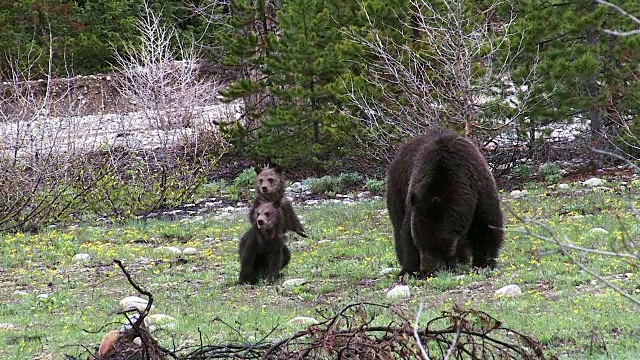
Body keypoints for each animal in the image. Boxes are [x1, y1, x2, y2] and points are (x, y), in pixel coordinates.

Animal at [388, 129, 502, 278]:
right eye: (419, 244)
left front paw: (484, 263)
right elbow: (406, 233)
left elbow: (486, 225)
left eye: (439, 248)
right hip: (398, 190)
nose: (428, 270)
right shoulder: (414, 199)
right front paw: (409, 270)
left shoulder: (479, 188)